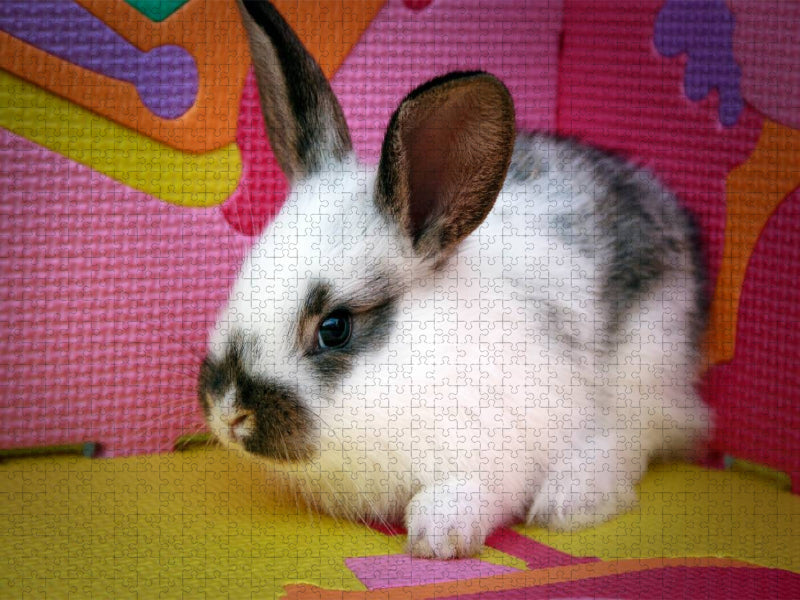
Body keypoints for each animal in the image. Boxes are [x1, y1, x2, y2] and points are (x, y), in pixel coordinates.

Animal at [198, 0, 712, 559]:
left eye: (334, 328)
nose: (229, 412)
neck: (424, 364)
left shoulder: (494, 454)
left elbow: (468, 493)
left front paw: (436, 537)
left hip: (645, 365)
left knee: (637, 439)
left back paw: (571, 499)